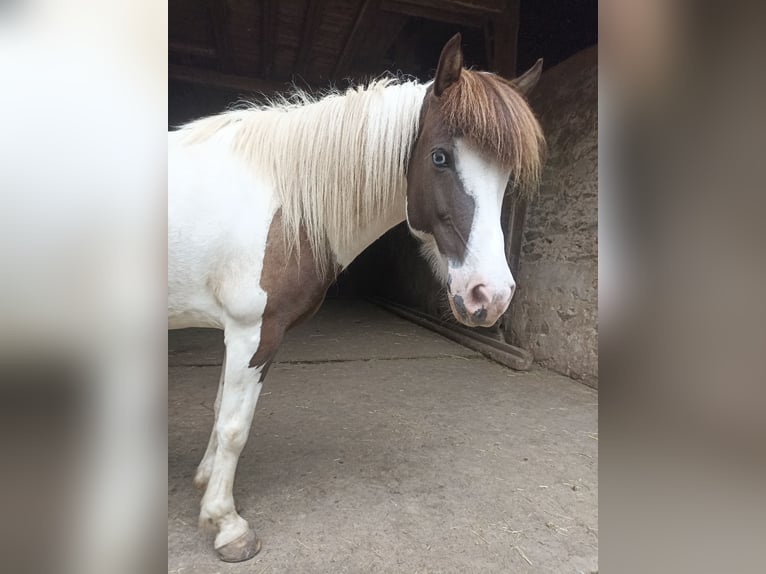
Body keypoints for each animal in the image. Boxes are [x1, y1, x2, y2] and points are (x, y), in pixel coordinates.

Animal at [171, 35, 548, 564]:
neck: (283, 198)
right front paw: (227, 525)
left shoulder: (235, 332)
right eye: (439, 158)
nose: (490, 296)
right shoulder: (253, 331)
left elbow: (220, 406)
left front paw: (205, 484)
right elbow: (233, 426)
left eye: (507, 174)